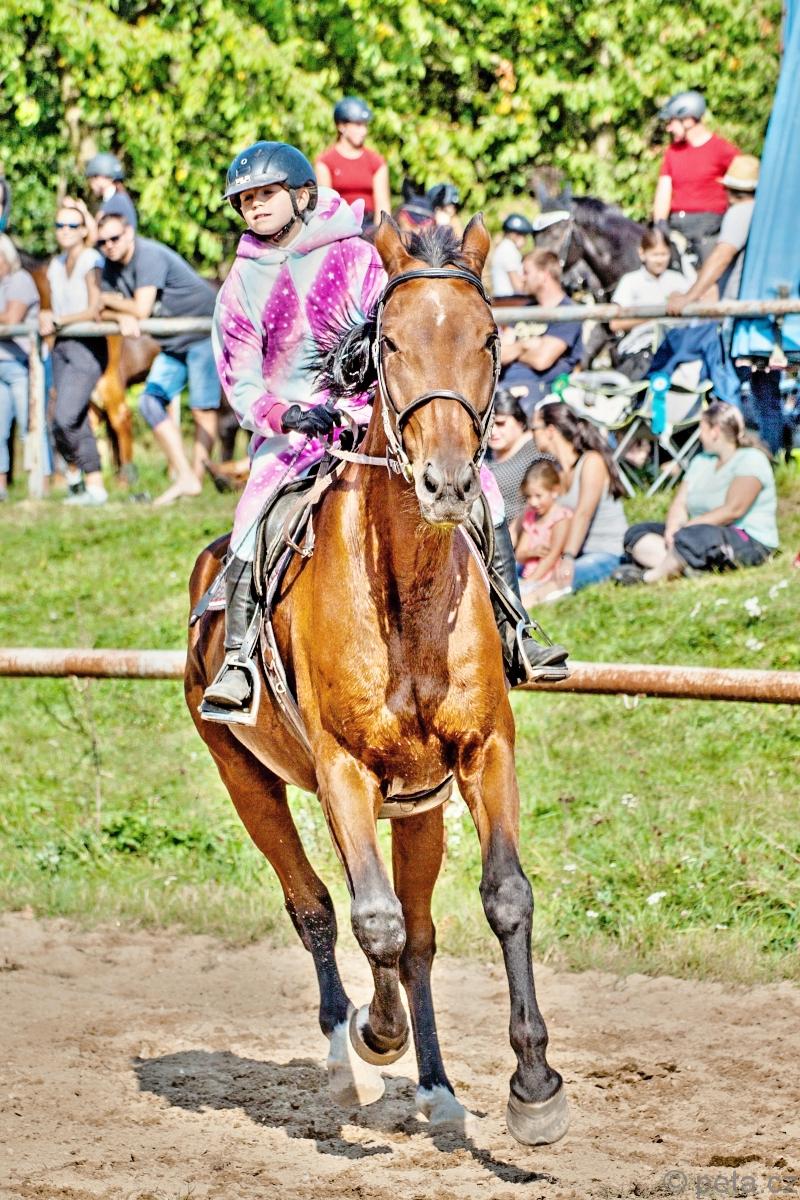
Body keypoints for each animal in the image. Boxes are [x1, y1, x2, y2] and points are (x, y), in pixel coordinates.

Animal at [184, 214, 569, 1147]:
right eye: (389, 343)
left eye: (489, 337)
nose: (450, 481)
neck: (405, 593)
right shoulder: (343, 773)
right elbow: (372, 919)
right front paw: (375, 1033)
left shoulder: (480, 753)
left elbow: (502, 899)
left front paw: (534, 1086)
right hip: (245, 776)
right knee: (318, 907)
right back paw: (343, 1055)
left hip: (418, 807)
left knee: (421, 935)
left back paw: (435, 1086)